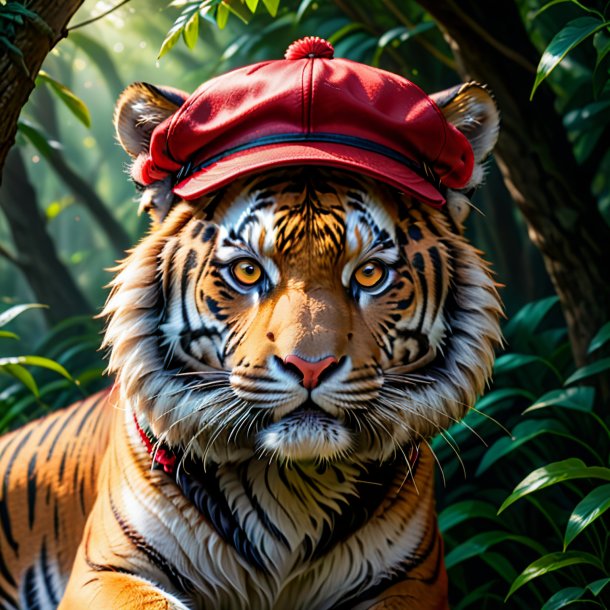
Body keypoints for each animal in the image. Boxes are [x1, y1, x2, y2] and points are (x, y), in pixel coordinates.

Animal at [0, 51, 498, 608]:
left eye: (370, 274)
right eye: (247, 271)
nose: (310, 367)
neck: (293, 485)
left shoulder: (413, 579)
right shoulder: (104, 570)